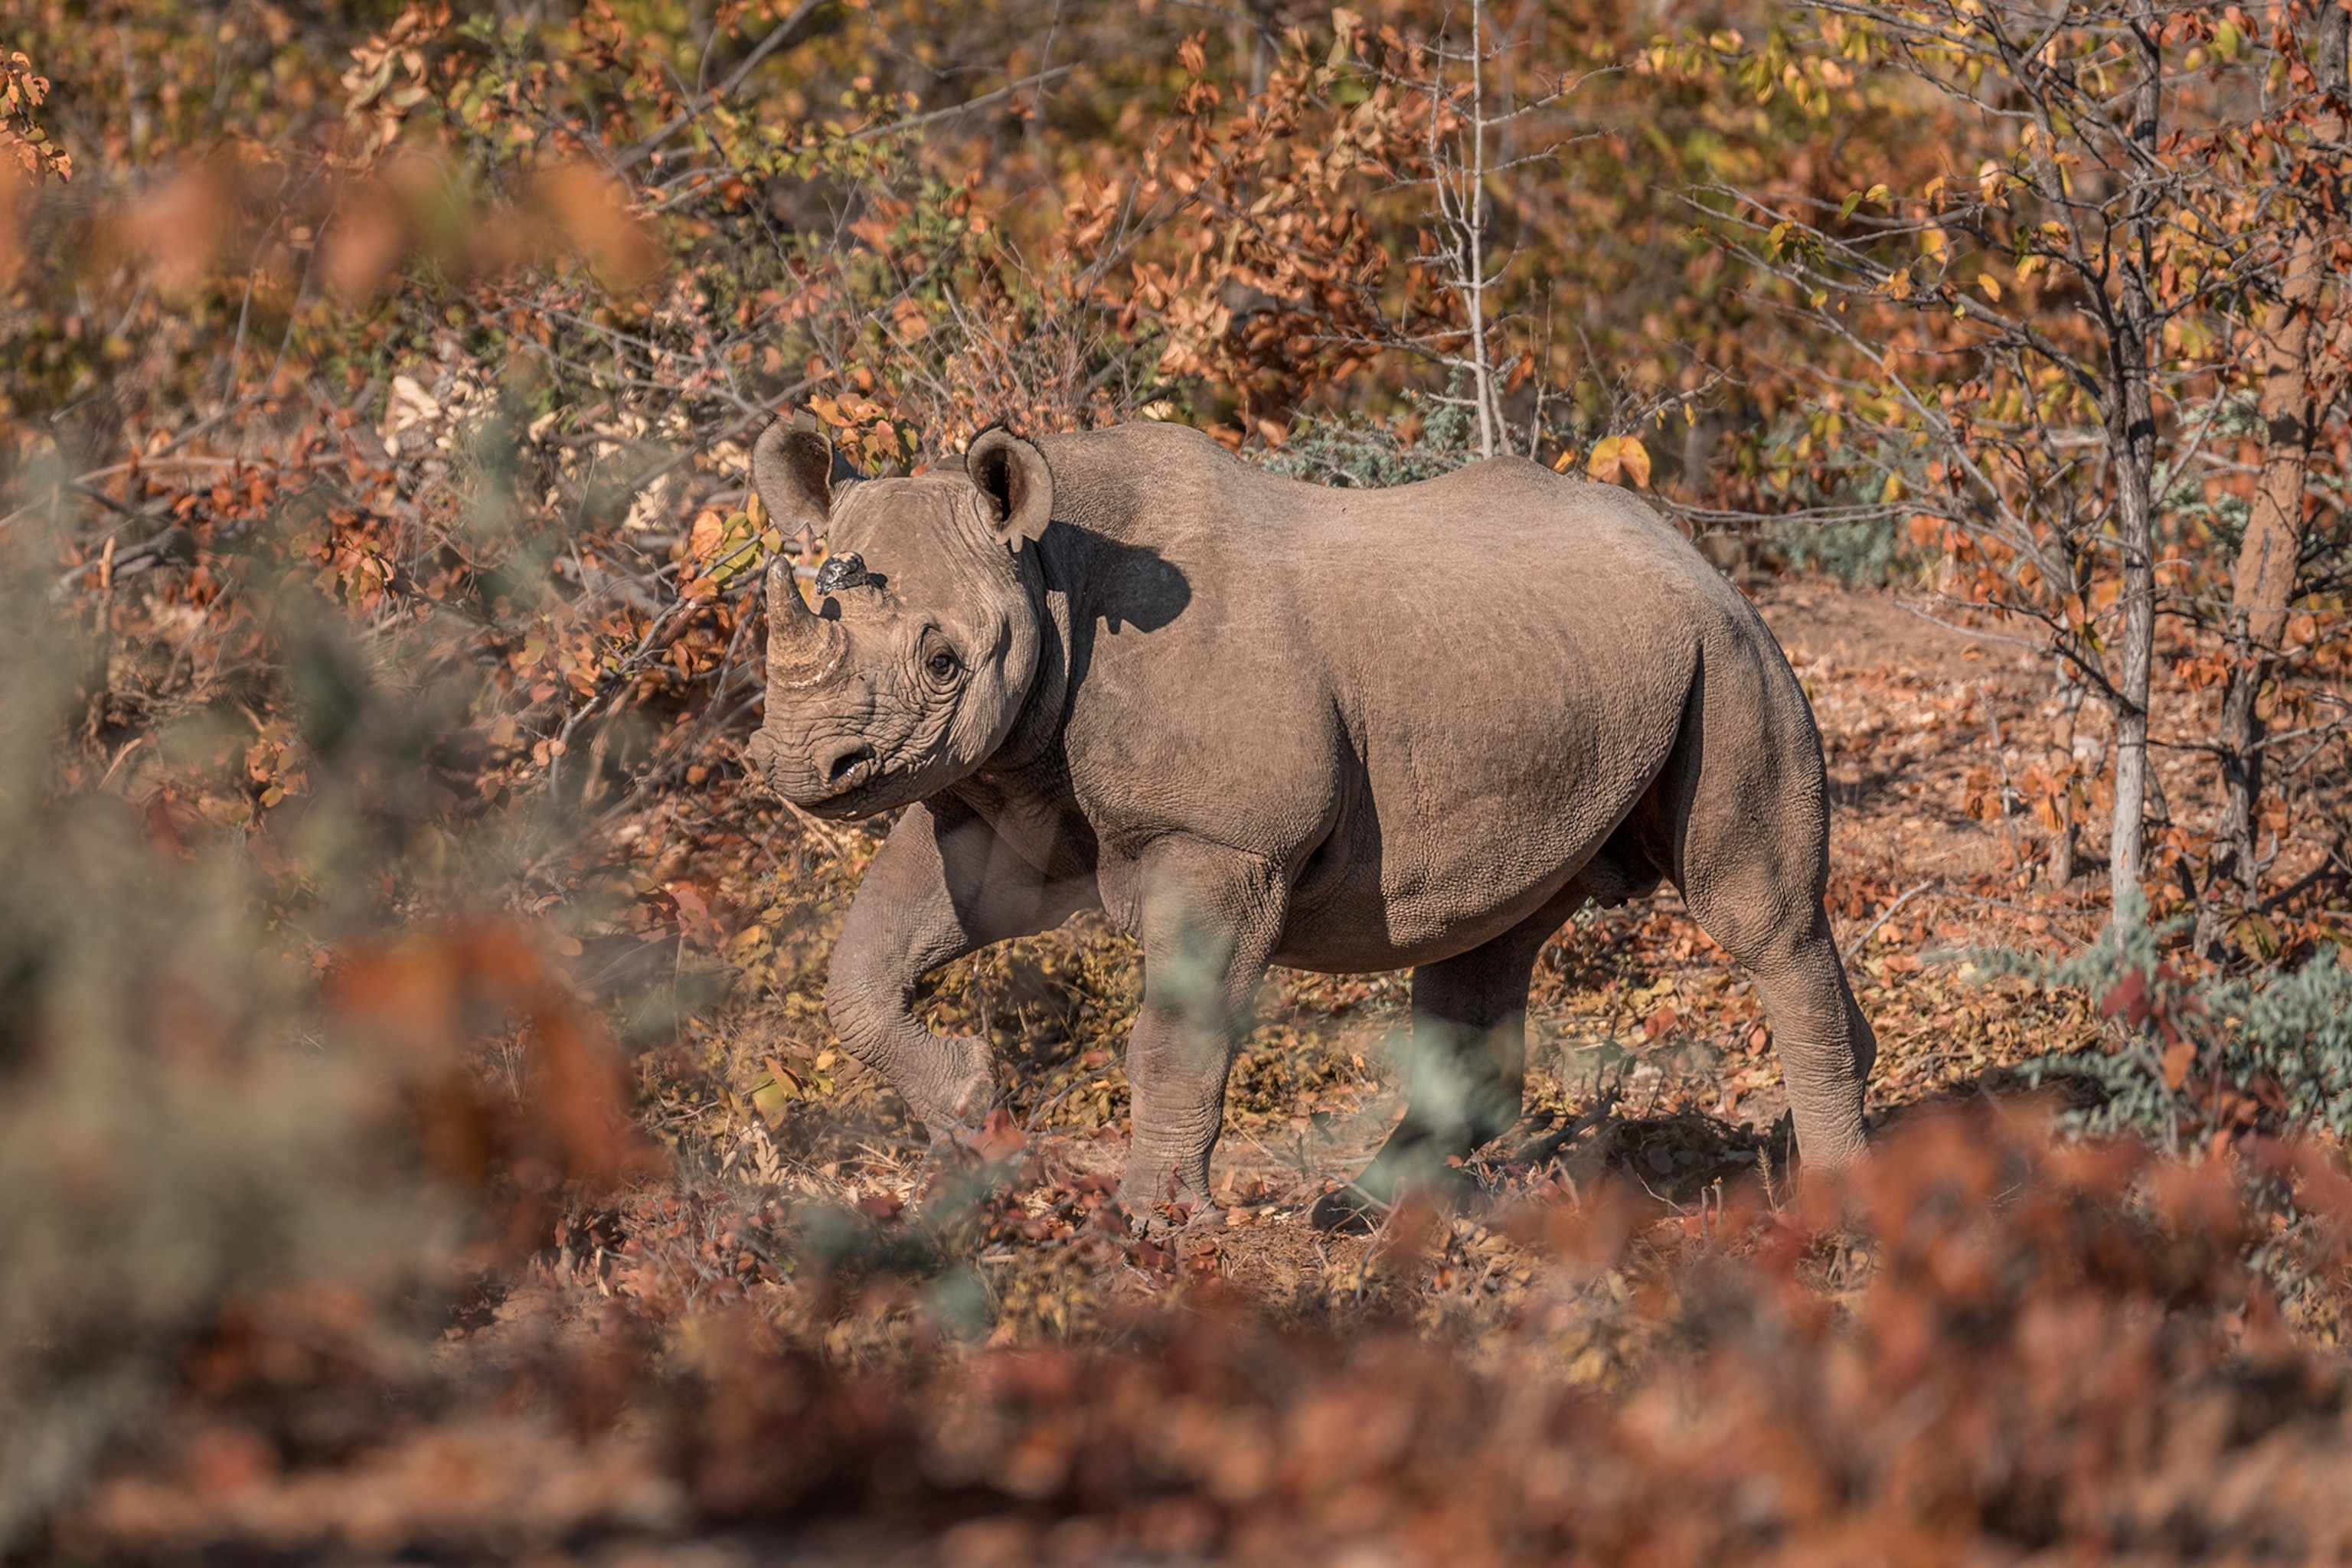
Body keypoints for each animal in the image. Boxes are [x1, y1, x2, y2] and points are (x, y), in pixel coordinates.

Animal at [742, 418, 1875, 1228]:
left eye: (942, 660)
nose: (805, 766)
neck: (1049, 574)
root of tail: (1695, 550)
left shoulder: (1221, 841)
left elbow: (1176, 1028)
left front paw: (1154, 1222)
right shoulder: (994, 788)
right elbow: (865, 968)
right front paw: (976, 1111)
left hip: (1732, 653)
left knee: (1758, 915)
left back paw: (1836, 1206)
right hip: (1562, 683)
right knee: (1484, 935)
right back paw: (1357, 1212)